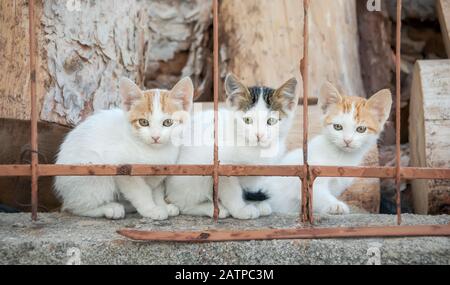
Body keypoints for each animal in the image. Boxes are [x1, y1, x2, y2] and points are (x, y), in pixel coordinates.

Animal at [53, 76, 194, 219]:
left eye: (168, 122)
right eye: (143, 122)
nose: (155, 137)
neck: (154, 152)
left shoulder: (159, 173)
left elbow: (156, 190)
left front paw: (162, 205)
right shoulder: (121, 167)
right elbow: (140, 191)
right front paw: (151, 209)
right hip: (92, 171)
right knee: (75, 207)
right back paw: (110, 208)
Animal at [165, 72, 298, 217]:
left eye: (271, 121)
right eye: (247, 120)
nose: (259, 135)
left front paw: (253, 204)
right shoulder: (222, 166)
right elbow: (231, 191)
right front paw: (240, 210)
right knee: (182, 203)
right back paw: (213, 209)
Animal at [251, 81, 392, 213]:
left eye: (361, 129)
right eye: (337, 127)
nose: (347, 140)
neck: (341, 157)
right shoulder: (307, 177)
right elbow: (318, 194)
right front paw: (335, 205)